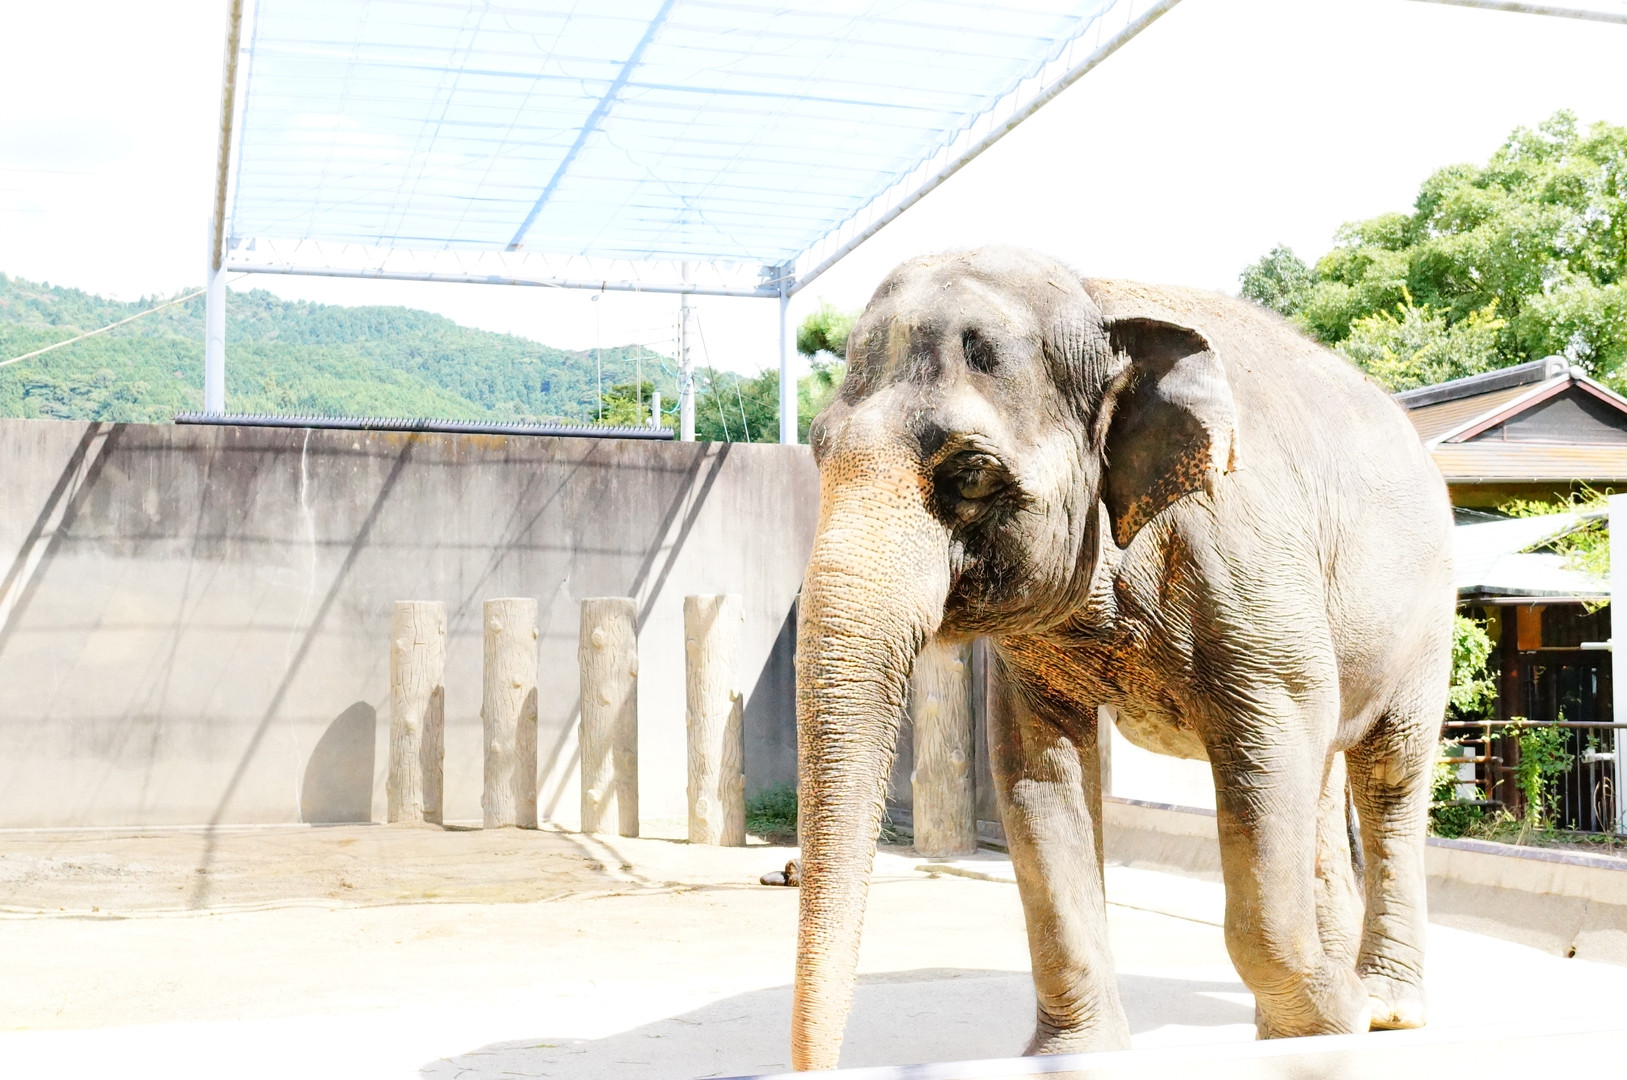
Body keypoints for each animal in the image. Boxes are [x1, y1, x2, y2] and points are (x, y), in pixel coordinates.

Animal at [790, 247, 1454, 1070]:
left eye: (969, 473)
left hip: (1428, 614)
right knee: (1326, 775)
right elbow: (1036, 771)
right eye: (818, 451)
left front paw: (1337, 1024)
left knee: (1390, 774)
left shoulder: (1244, 557)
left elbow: (1270, 742)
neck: (1097, 300)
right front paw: (1078, 1055)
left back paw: (1384, 1009)